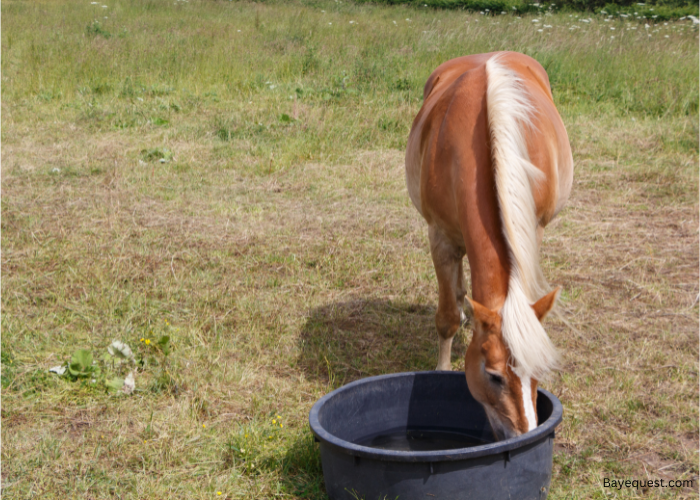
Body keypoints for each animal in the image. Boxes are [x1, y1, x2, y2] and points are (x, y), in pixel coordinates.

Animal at [404, 51, 576, 442]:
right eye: (494, 375)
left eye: (539, 371)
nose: (523, 435)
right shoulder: (440, 238)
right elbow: (447, 318)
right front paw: (441, 370)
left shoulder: (533, 230)